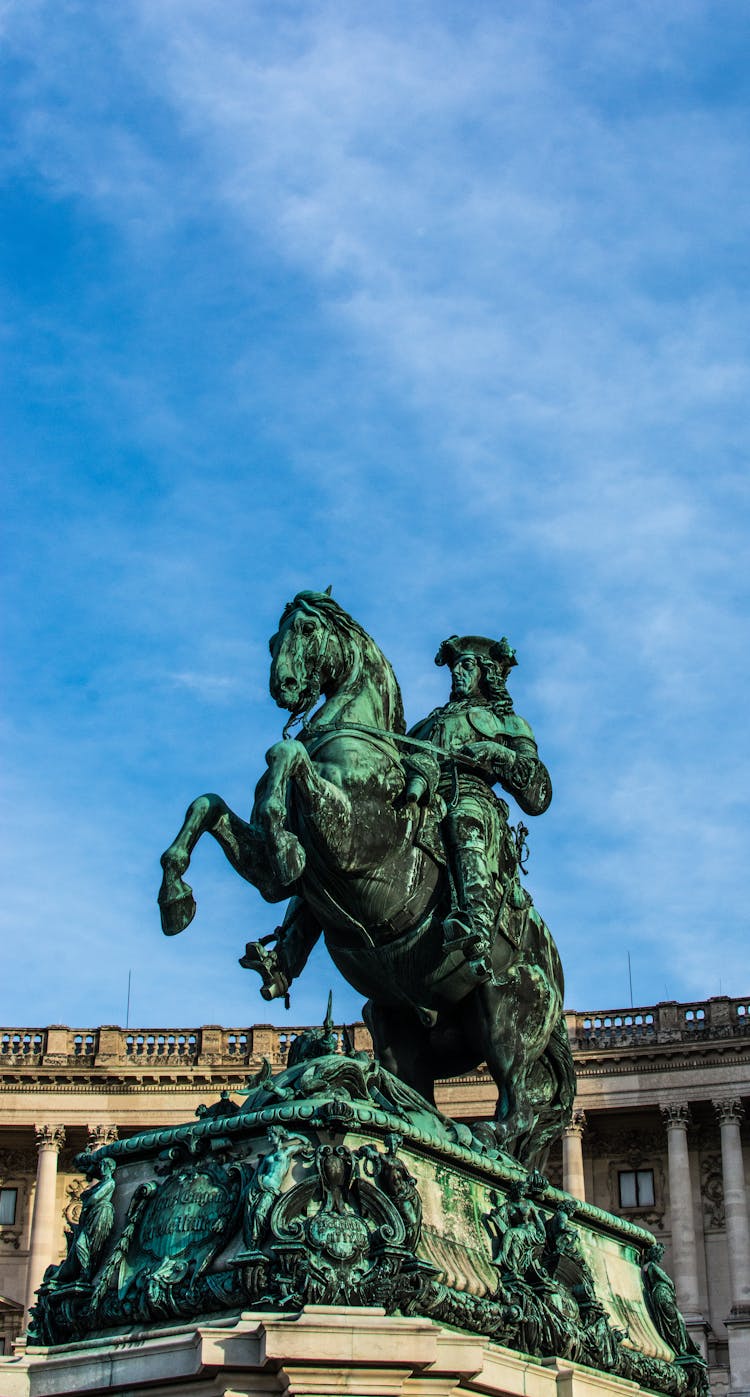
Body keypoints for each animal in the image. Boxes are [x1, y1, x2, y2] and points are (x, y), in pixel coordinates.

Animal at [155, 583, 569, 1162]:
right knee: (418, 1095)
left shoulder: (354, 838)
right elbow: (210, 805)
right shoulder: (278, 865)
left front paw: (283, 839)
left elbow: (285, 755)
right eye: (272, 639)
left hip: (507, 1009)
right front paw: (176, 898)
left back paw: (485, 1137)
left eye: (307, 629)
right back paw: (410, 1118)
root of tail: (556, 977)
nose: (284, 688)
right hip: (393, 1021)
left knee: (519, 1108)